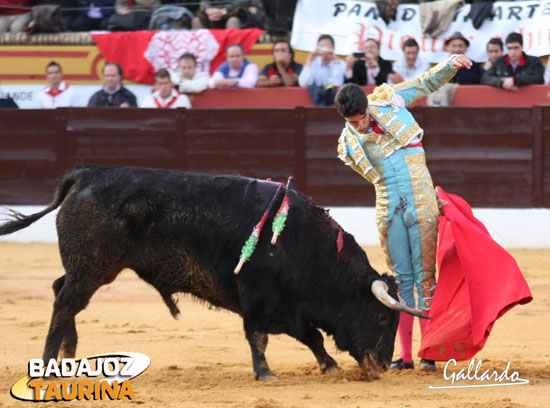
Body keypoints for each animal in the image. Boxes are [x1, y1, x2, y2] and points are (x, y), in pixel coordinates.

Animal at [0, 164, 426, 380]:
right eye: (382, 318)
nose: (383, 364)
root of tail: (85, 174)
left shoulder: (290, 307)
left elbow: (312, 337)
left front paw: (328, 365)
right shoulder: (257, 297)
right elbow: (258, 337)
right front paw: (264, 373)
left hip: (89, 268)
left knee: (62, 293)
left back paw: (69, 352)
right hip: (93, 266)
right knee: (64, 303)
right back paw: (50, 363)